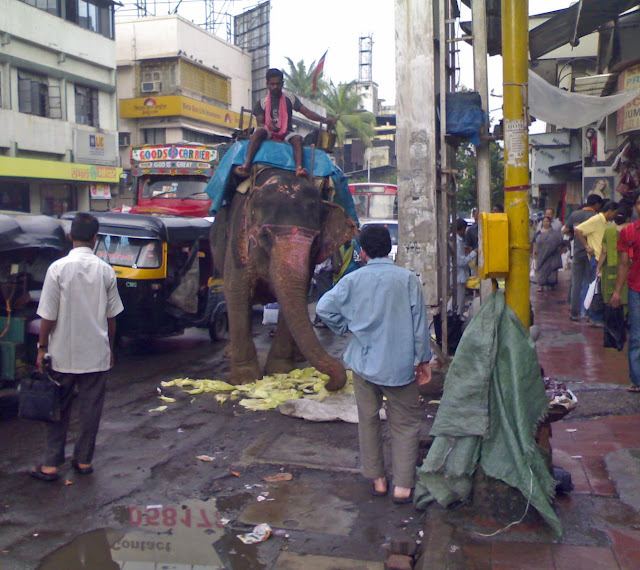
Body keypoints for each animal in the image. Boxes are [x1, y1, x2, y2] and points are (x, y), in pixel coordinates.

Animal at [212, 166, 358, 392]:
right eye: (264, 236)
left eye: (316, 240)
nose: (328, 383)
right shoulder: (237, 239)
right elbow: (236, 290)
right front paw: (245, 380)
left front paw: (279, 372)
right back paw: (229, 353)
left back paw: (297, 357)